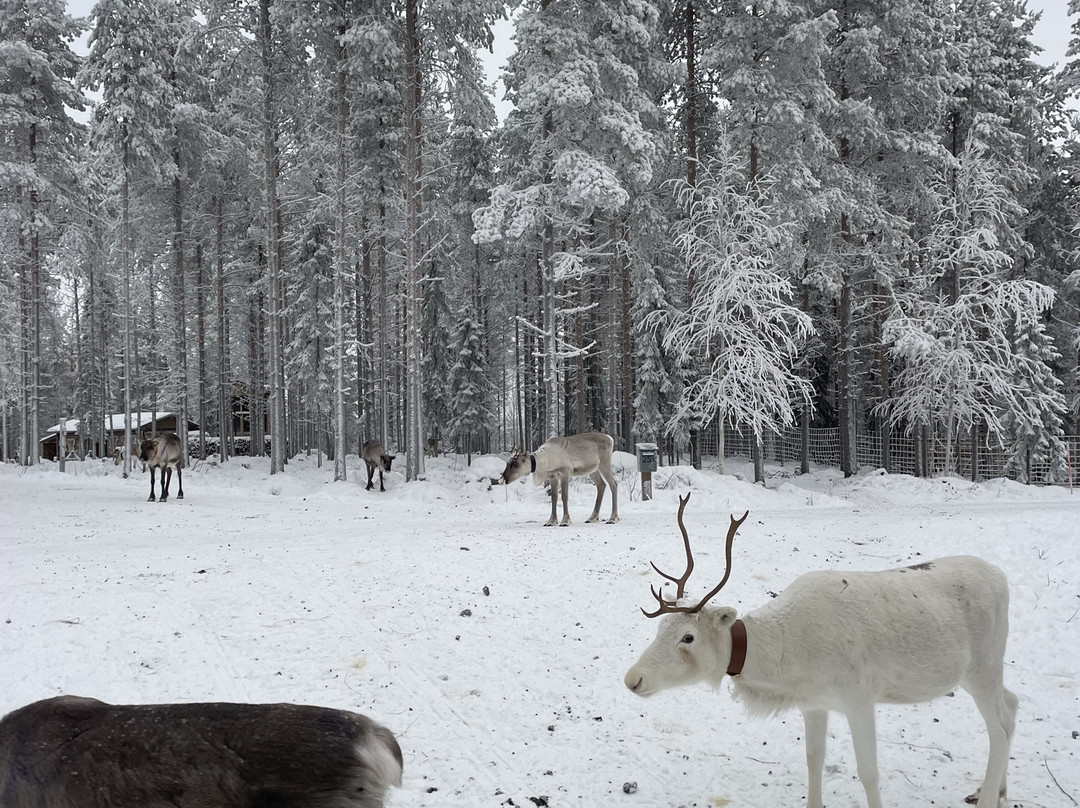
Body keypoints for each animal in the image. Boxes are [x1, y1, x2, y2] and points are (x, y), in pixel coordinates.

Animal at [624, 494, 1017, 808]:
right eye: (659, 628)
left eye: (688, 637)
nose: (632, 678)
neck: (787, 664)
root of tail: (1002, 577)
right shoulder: (813, 703)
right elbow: (814, 758)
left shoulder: (859, 697)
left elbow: (869, 772)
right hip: (978, 671)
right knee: (1011, 706)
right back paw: (995, 791)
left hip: (984, 664)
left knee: (998, 727)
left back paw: (987, 797)